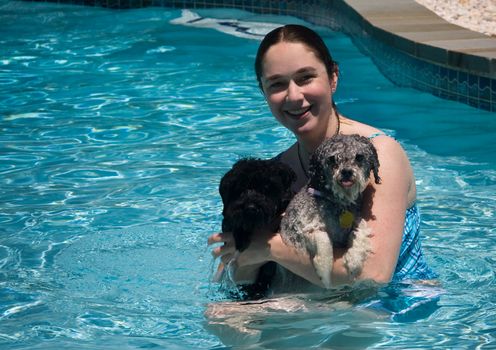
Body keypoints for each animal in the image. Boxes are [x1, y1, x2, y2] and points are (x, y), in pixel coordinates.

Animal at [280, 133, 382, 288]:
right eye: (332, 159)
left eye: (359, 157)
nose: (346, 171)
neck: (337, 202)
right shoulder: (299, 227)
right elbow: (323, 239)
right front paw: (324, 272)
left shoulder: (356, 219)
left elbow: (360, 230)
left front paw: (354, 260)